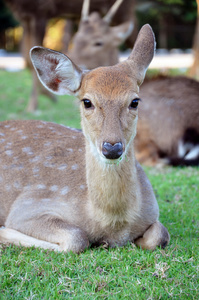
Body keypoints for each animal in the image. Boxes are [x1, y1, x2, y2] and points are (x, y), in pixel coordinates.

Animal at [0, 24, 169, 252]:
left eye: (135, 101)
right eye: (87, 102)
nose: (112, 148)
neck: (113, 222)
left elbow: (160, 234)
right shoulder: (27, 206)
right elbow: (77, 238)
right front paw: (4, 232)